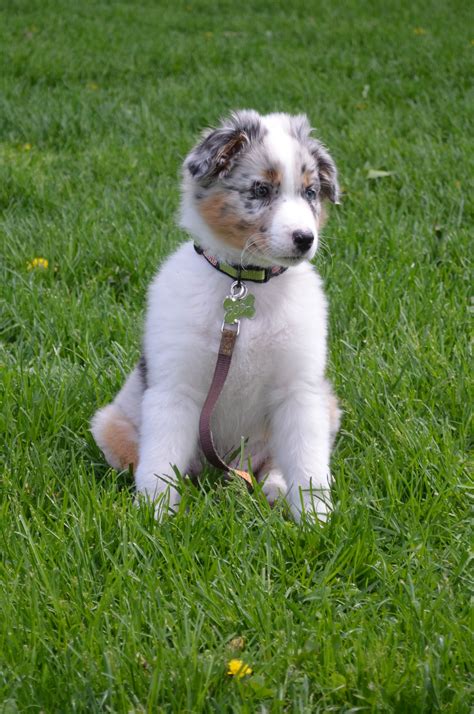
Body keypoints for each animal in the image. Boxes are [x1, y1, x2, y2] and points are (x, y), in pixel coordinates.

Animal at [90, 108, 340, 520]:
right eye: (260, 190)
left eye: (310, 192)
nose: (305, 239)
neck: (245, 282)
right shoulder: (175, 388)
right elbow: (159, 463)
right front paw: (154, 517)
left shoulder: (299, 390)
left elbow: (307, 464)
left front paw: (316, 521)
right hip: (111, 422)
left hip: (326, 404)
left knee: (274, 463)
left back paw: (275, 488)